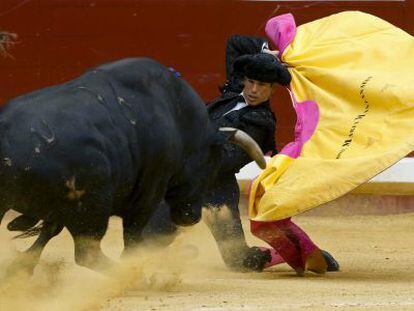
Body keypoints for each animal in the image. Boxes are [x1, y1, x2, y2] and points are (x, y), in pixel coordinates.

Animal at [0, 57, 266, 274]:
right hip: (93, 206)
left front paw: (21, 267)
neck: (178, 119)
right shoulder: (147, 191)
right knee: (89, 253)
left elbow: (50, 230)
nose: (191, 217)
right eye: (210, 165)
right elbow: (133, 234)